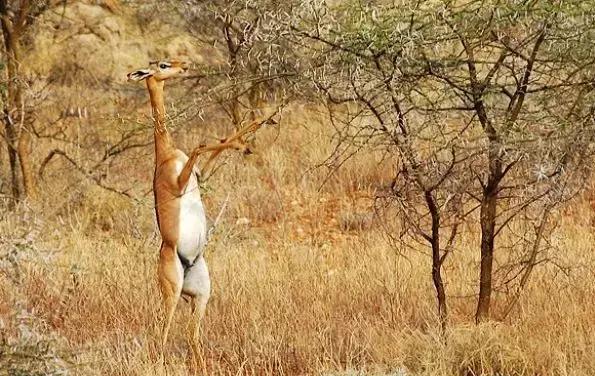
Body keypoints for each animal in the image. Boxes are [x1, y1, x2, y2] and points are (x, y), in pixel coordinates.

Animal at [128, 58, 264, 362]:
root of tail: (186, 263)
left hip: (200, 294)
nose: (184, 66)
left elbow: (215, 146)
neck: (165, 155)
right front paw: (248, 138)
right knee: (162, 332)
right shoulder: (179, 182)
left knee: (192, 336)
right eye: (163, 64)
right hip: (172, 293)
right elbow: (200, 146)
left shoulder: (200, 176)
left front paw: (252, 131)